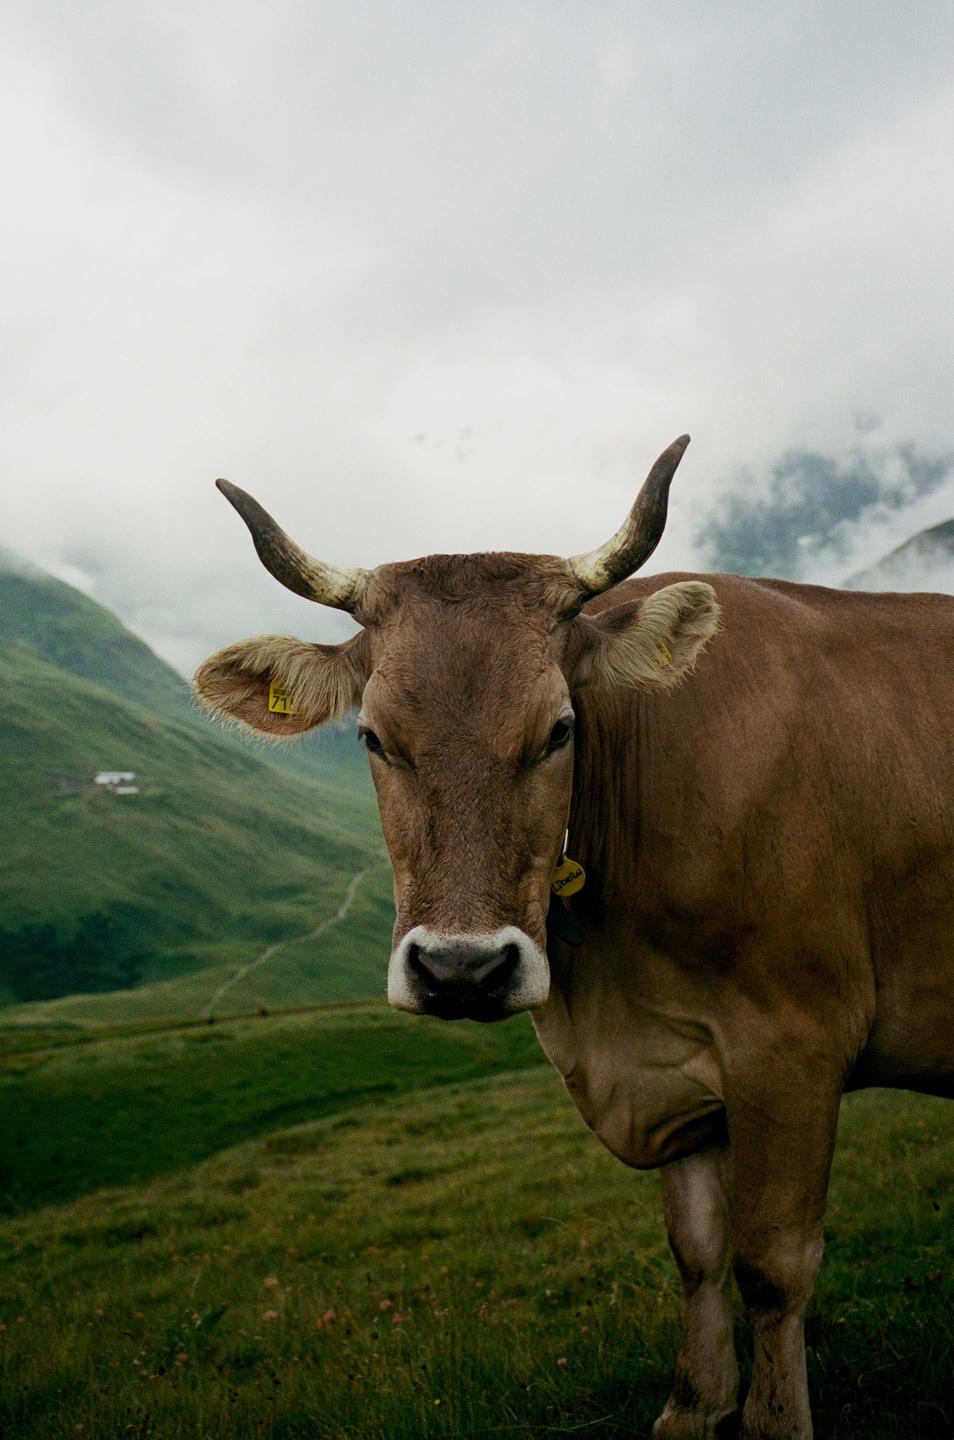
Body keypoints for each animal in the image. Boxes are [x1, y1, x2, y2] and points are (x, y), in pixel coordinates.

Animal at [194, 436, 954, 1440]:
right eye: (373, 738)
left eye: (559, 730)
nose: (462, 970)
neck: (610, 996)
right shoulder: (672, 1069)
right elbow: (697, 1251)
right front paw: (693, 1406)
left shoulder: (795, 1043)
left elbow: (772, 1264)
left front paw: (770, 1417)